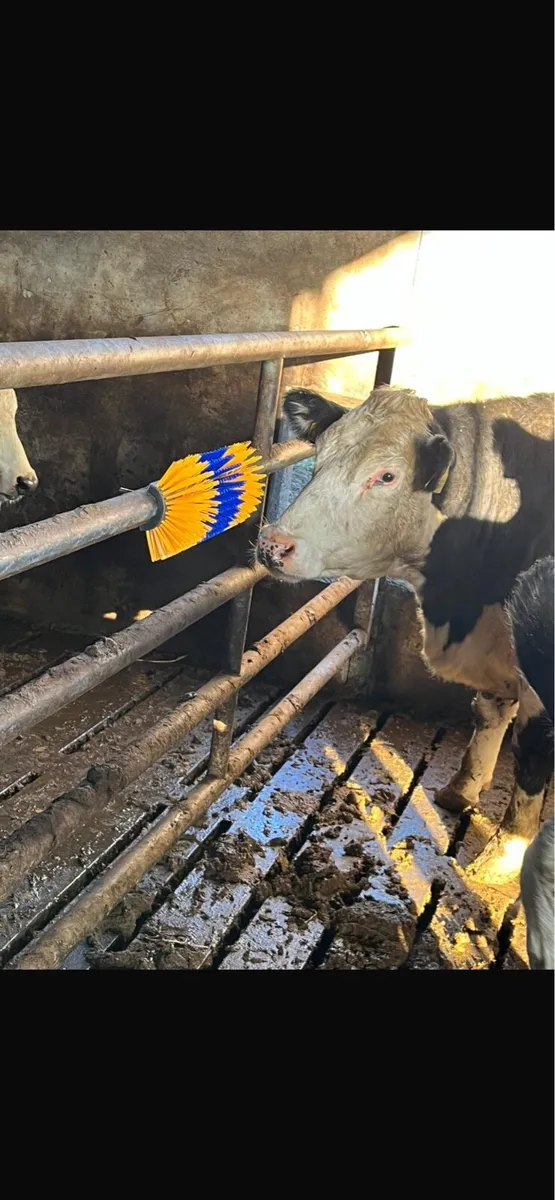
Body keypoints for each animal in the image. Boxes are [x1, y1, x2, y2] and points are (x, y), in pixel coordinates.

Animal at [257, 385, 554, 879]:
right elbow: (489, 714)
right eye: (321, 454)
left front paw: (501, 858)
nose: (273, 545)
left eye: (387, 476)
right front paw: (461, 790)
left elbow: (531, 753)